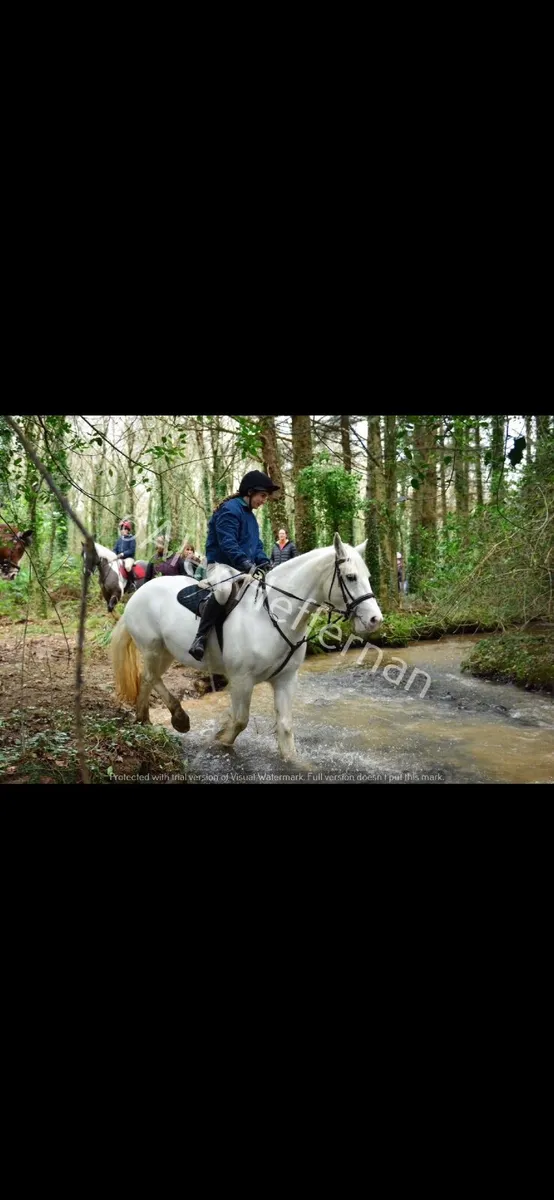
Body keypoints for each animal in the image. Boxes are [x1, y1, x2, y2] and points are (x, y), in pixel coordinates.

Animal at [110, 533, 383, 760]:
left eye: (368, 577)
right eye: (351, 577)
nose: (375, 619)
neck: (274, 614)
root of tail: (139, 591)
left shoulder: (286, 679)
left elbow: (285, 727)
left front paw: (295, 763)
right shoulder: (242, 679)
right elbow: (240, 721)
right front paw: (220, 738)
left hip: (166, 652)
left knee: (149, 679)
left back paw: (147, 719)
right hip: (152, 648)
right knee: (149, 676)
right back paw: (175, 718)